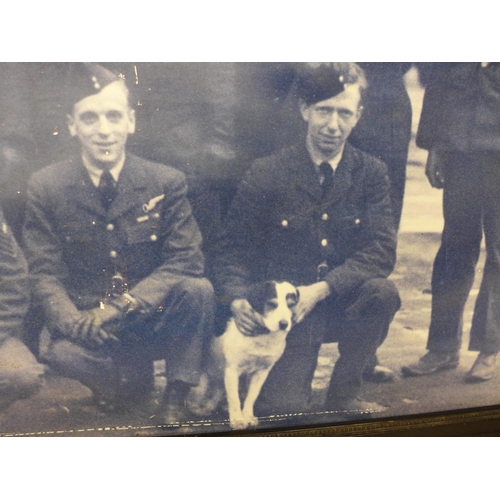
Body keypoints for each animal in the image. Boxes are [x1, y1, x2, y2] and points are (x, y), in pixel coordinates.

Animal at [187, 282, 296, 430]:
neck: (261, 336)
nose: (284, 324)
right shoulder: (232, 370)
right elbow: (234, 399)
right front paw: (238, 421)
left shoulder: (261, 373)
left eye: (291, 305)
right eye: (272, 304)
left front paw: (248, 417)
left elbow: (251, 397)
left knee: (217, 396)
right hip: (201, 386)